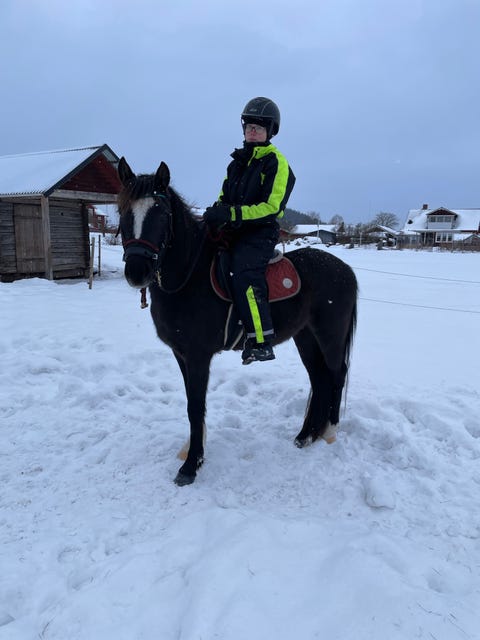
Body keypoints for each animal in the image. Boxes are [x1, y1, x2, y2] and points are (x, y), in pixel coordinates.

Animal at [117, 157, 358, 486]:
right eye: (123, 211)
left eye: (162, 213)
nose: (136, 271)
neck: (188, 277)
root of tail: (344, 269)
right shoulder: (181, 354)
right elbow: (192, 403)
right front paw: (193, 452)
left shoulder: (198, 355)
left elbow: (195, 406)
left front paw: (190, 466)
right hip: (305, 337)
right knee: (319, 379)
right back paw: (306, 435)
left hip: (330, 335)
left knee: (335, 375)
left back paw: (330, 432)